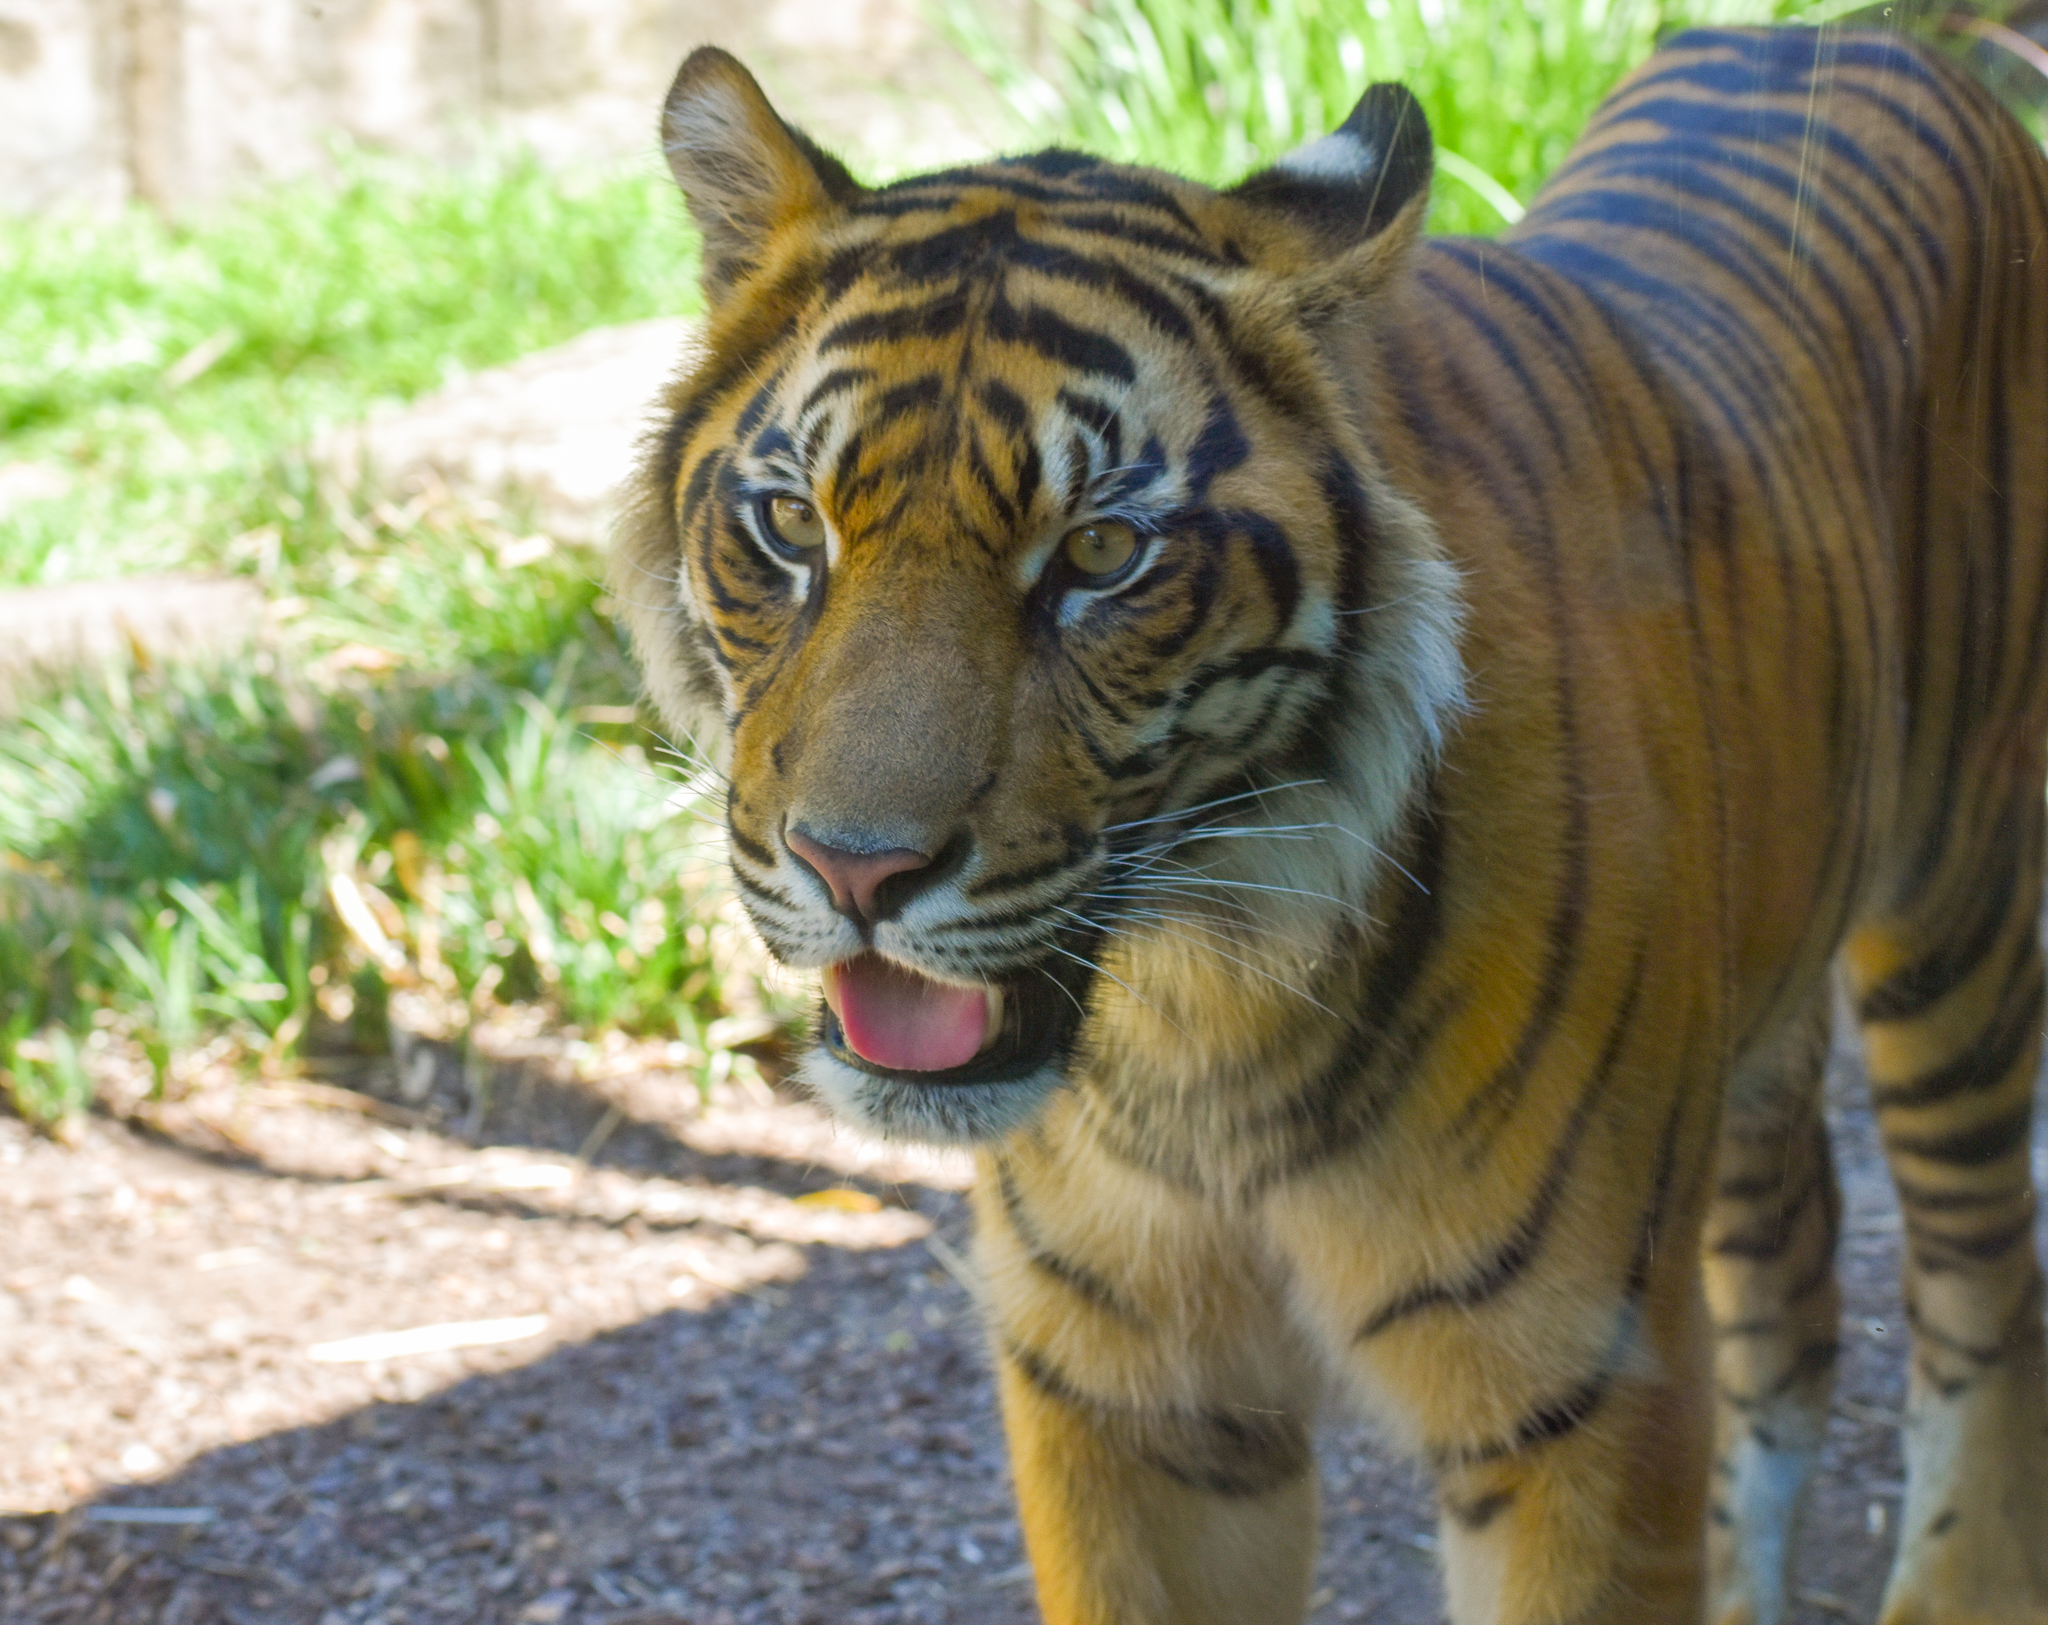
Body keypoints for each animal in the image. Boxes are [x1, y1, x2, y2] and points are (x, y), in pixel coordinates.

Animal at [612, 23, 2048, 1625]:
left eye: (1100, 552)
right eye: (792, 526)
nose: (853, 868)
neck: (1195, 1016)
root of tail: (1850, 30)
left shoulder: (1576, 1387)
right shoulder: (1127, 1388)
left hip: (1958, 914)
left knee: (1986, 1288)